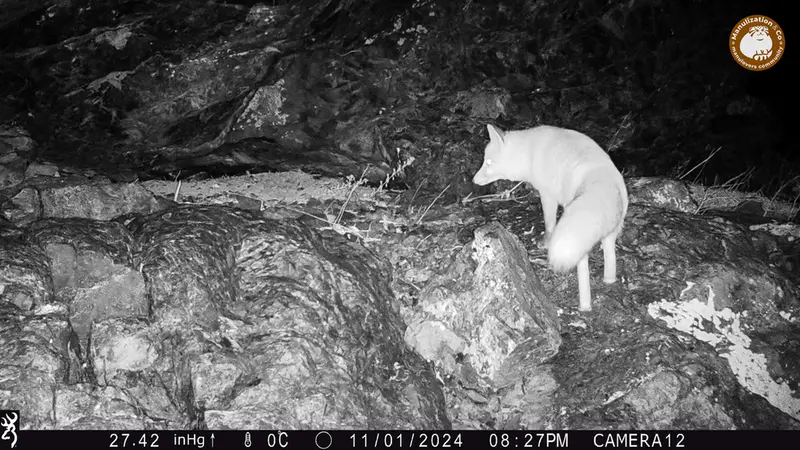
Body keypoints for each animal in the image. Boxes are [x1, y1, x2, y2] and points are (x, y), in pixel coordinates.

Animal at [472, 124, 628, 312]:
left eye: (488, 162)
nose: (473, 180)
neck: (530, 152)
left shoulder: (547, 195)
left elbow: (549, 224)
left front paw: (545, 242)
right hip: (611, 235)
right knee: (610, 260)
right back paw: (608, 281)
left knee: (583, 266)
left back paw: (584, 306)